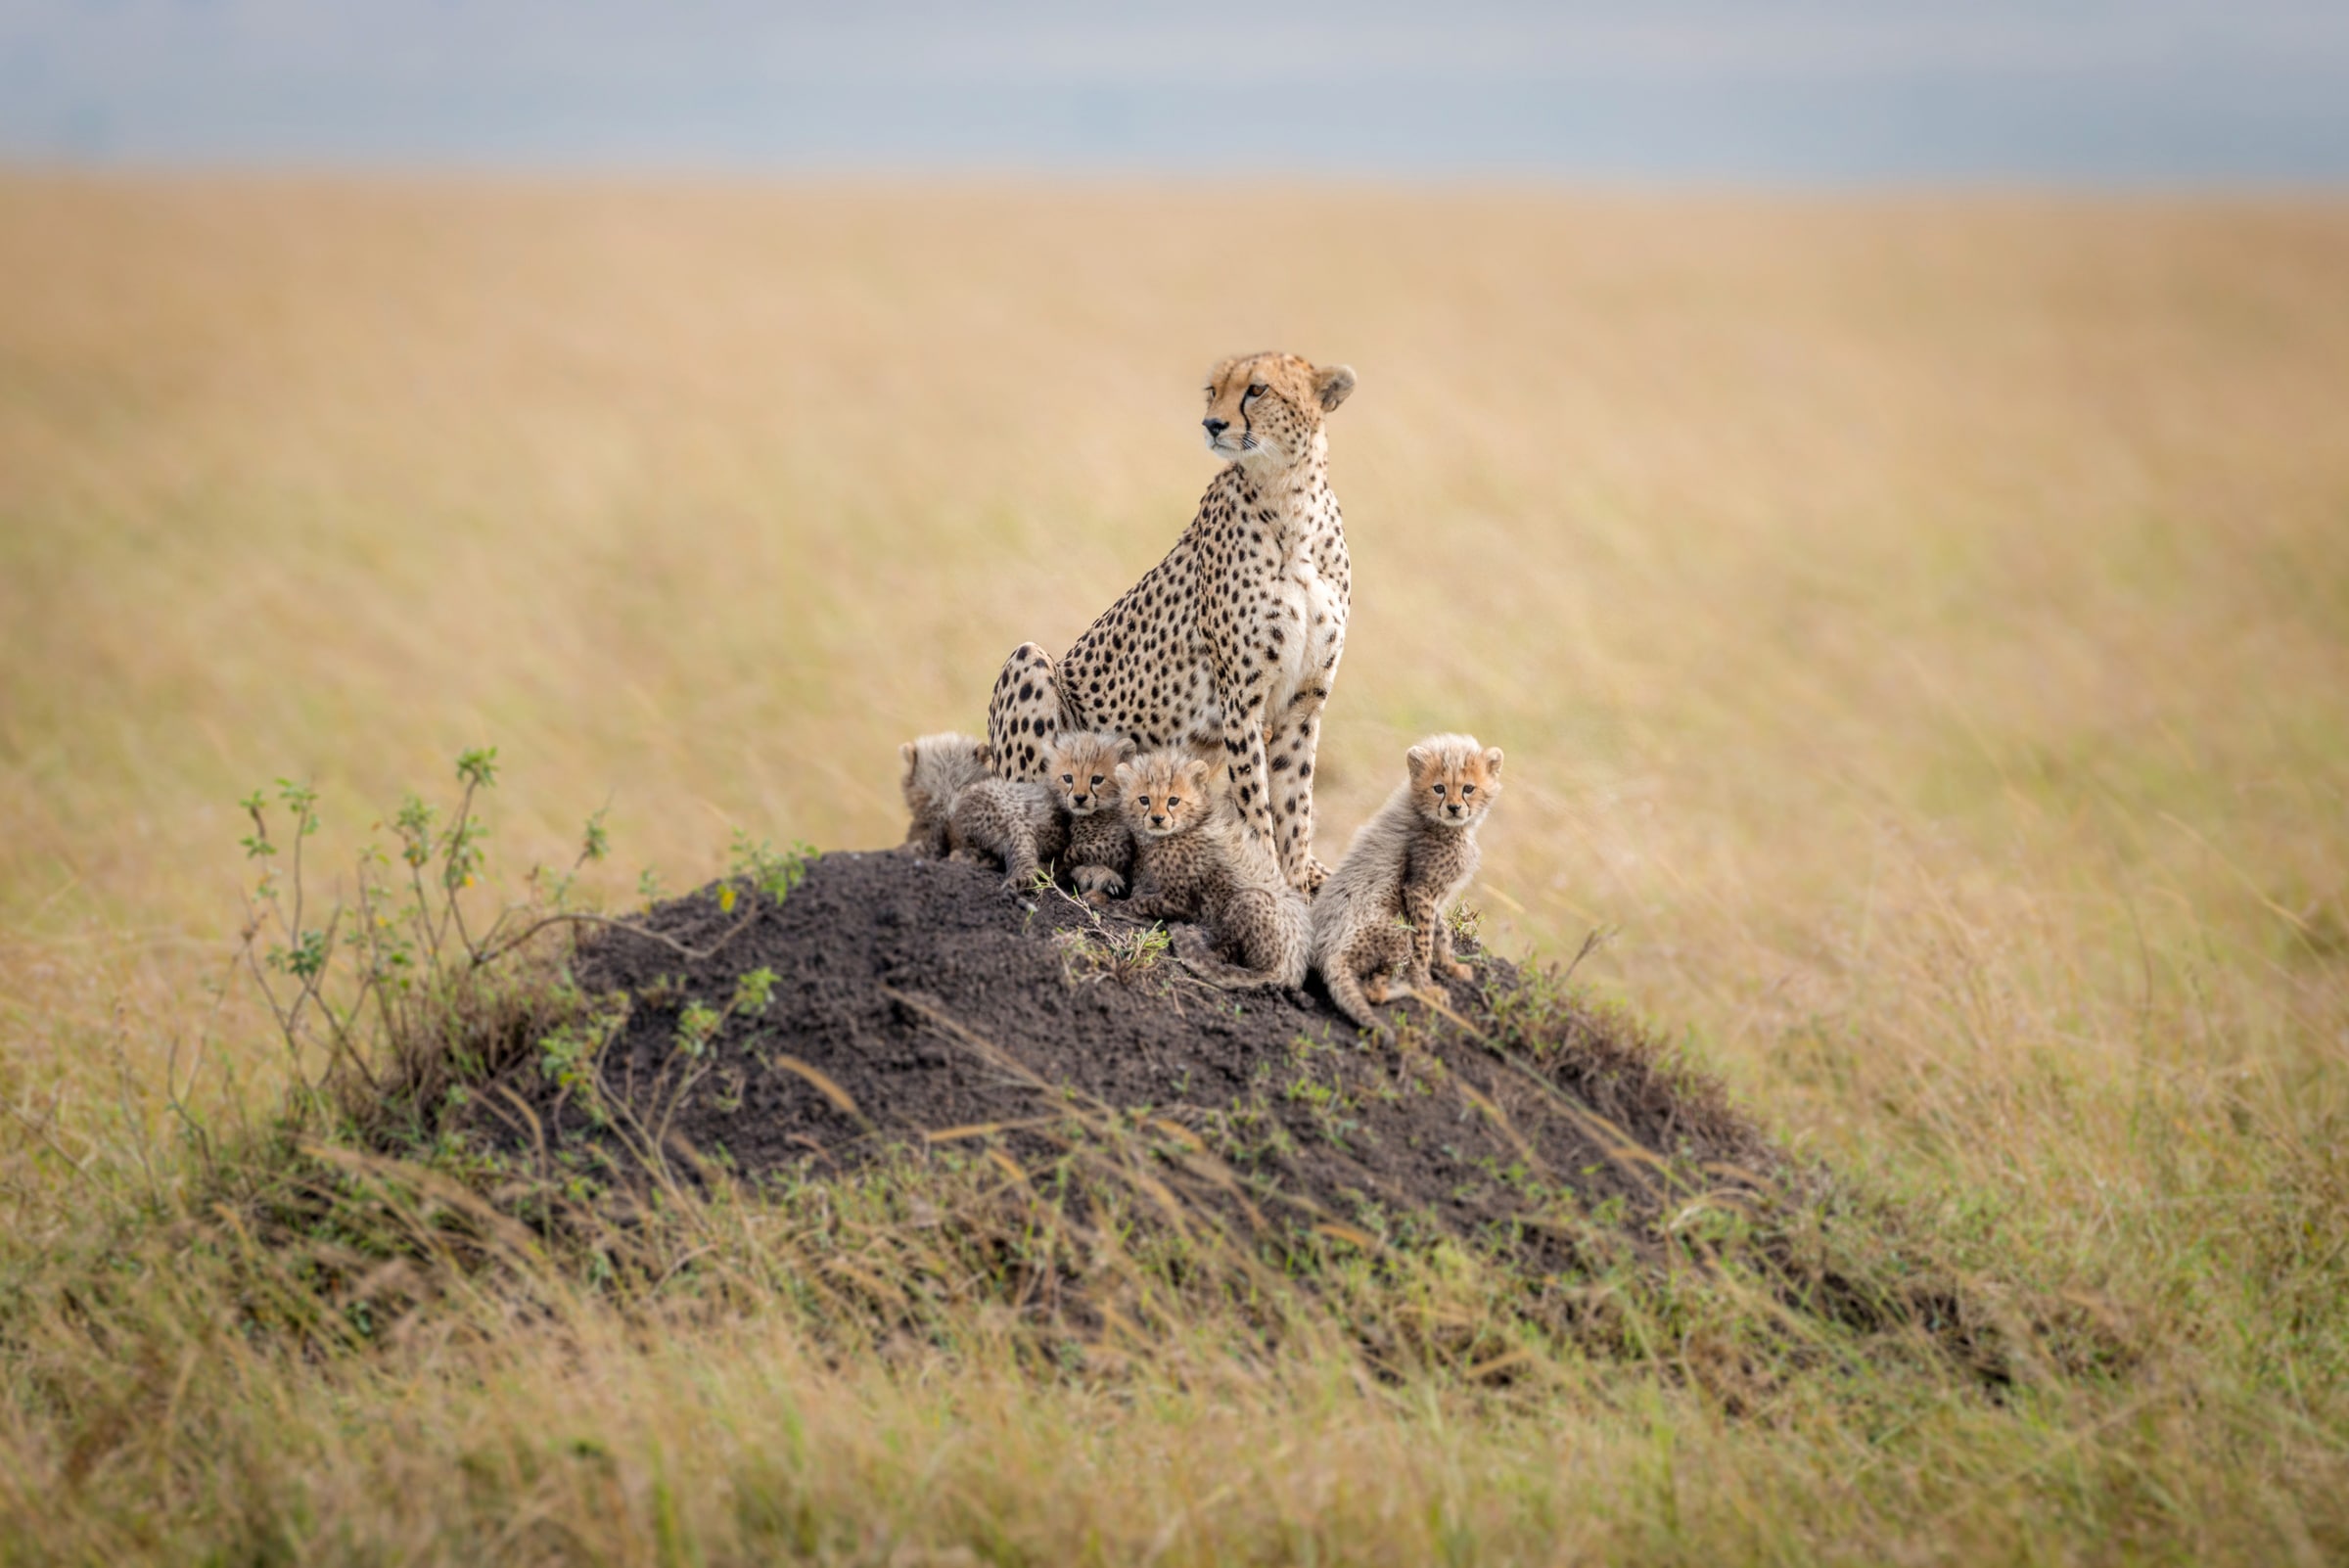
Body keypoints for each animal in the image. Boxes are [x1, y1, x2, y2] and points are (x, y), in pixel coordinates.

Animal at [990, 351, 1362, 892]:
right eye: (1212, 390)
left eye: (1257, 389)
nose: (1212, 424)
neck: (1291, 499)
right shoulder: (1241, 702)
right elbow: (1256, 805)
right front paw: (1269, 881)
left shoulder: (1303, 703)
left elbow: (1295, 806)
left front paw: (1295, 884)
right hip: (1029, 664)